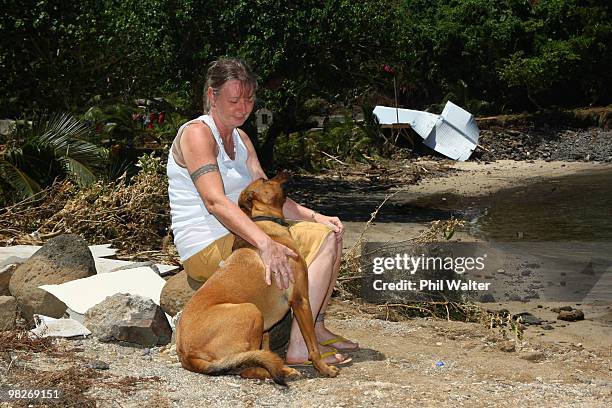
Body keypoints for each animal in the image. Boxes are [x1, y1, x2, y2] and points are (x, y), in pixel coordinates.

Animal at [176, 173, 340, 386]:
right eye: (264, 179)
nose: (286, 171)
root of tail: (186, 355)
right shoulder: (301, 300)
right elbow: (313, 346)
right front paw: (324, 368)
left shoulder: (267, 327)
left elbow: (267, 348)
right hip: (251, 311)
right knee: (247, 369)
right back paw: (285, 370)